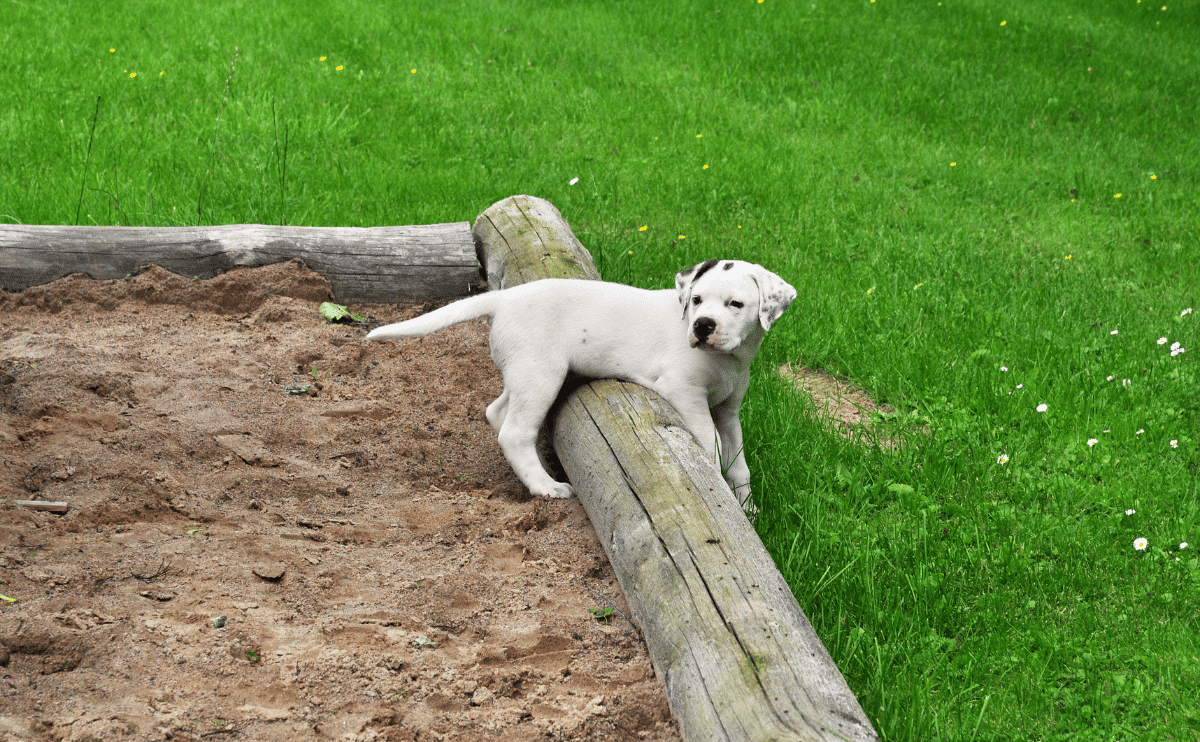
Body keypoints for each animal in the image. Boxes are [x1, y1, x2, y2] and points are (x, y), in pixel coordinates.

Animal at [367, 256, 796, 506]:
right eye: (697, 300)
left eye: (735, 304)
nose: (702, 325)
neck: (729, 359)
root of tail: (505, 298)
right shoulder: (684, 392)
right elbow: (711, 448)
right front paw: (724, 493)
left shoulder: (728, 410)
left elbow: (739, 463)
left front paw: (747, 508)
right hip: (542, 374)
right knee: (514, 432)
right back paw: (545, 486)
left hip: (524, 372)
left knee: (497, 413)